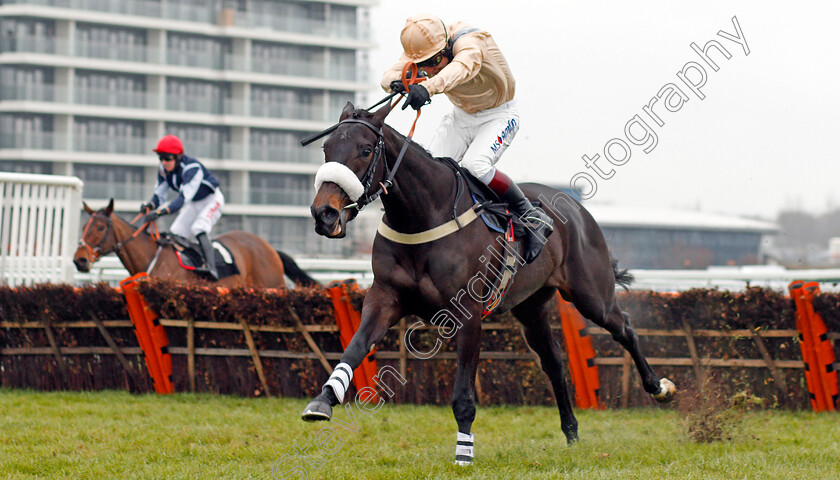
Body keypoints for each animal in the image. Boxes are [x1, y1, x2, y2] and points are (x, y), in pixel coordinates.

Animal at [69, 200, 316, 288]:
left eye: (100, 228)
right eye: (83, 227)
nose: (79, 260)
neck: (153, 258)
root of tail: (269, 247)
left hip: (272, 286)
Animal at [302, 102, 676, 464]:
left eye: (365, 150)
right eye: (326, 147)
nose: (324, 214)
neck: (422, 218)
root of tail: (575, 207)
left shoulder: (467, 313)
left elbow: (463, 393)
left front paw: (464, 451)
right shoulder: (384, 298)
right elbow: (355, 347)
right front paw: (324, 399)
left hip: (591, 294)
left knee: (624, 327)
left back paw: (659, 388)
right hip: (531, 307)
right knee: (554, 362)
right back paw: (571, 432)